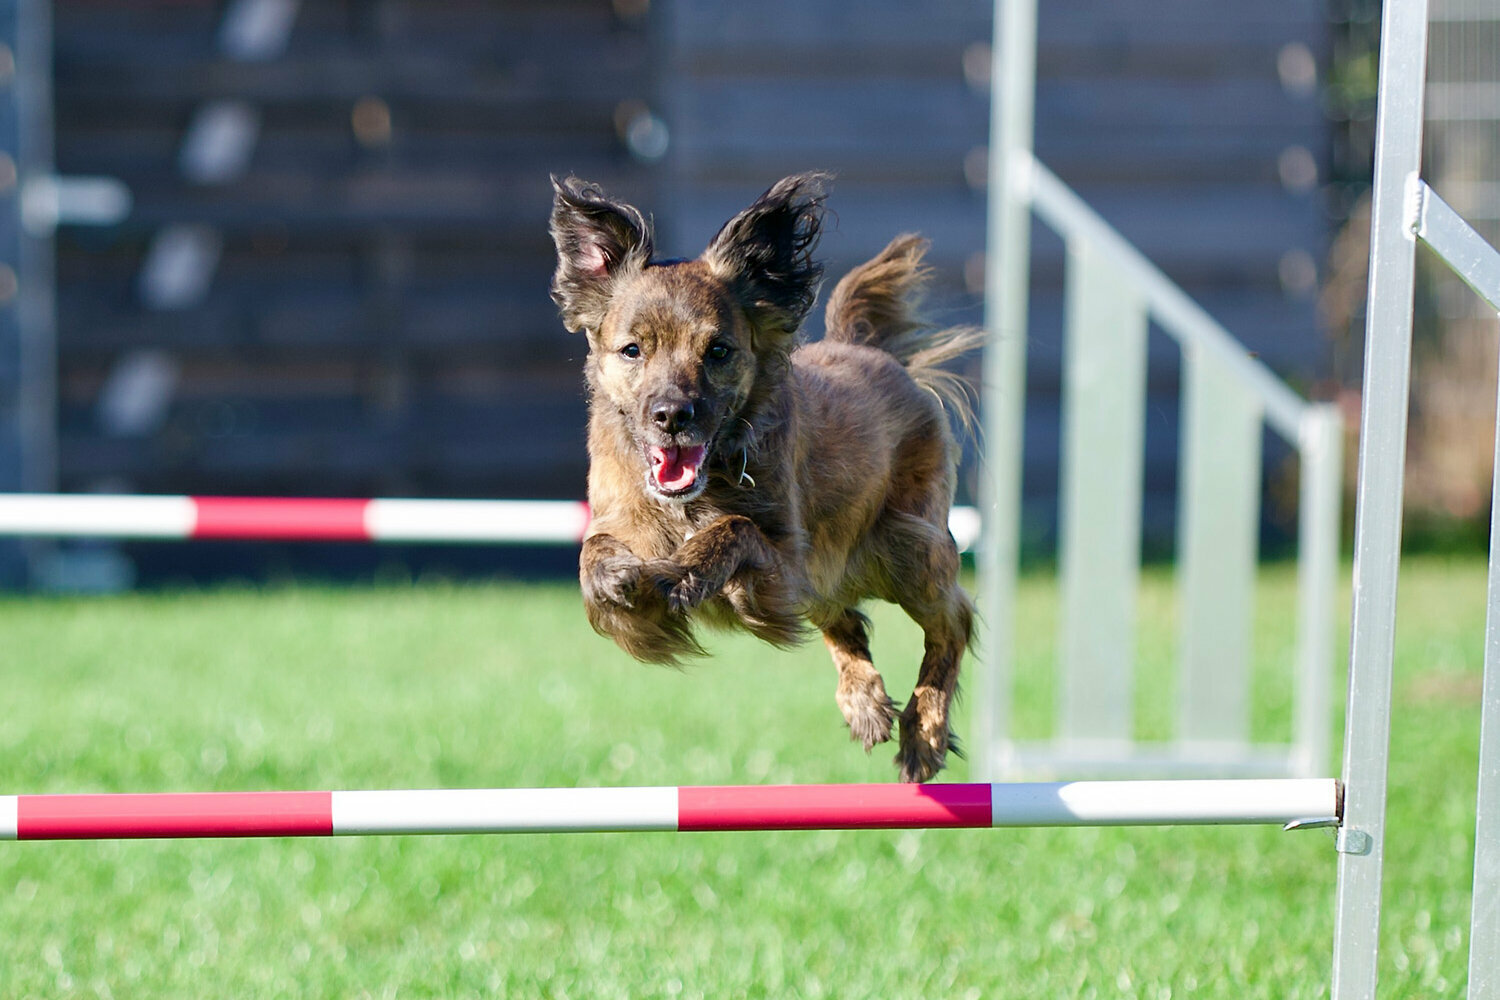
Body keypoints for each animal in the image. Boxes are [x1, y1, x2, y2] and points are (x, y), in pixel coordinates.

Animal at [546, 172, 978, 779]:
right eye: (632, 350)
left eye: (718, 350)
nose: (671, 416)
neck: (696, 494)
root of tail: (873, 352)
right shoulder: (623, 519)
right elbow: (593, 548)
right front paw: (613, 577)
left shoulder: (787, 568)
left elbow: (735, 529)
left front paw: (689, 569)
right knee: (846, 621)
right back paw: (865, 702)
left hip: (907, 549)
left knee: (952, 620)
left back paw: (925, 731)